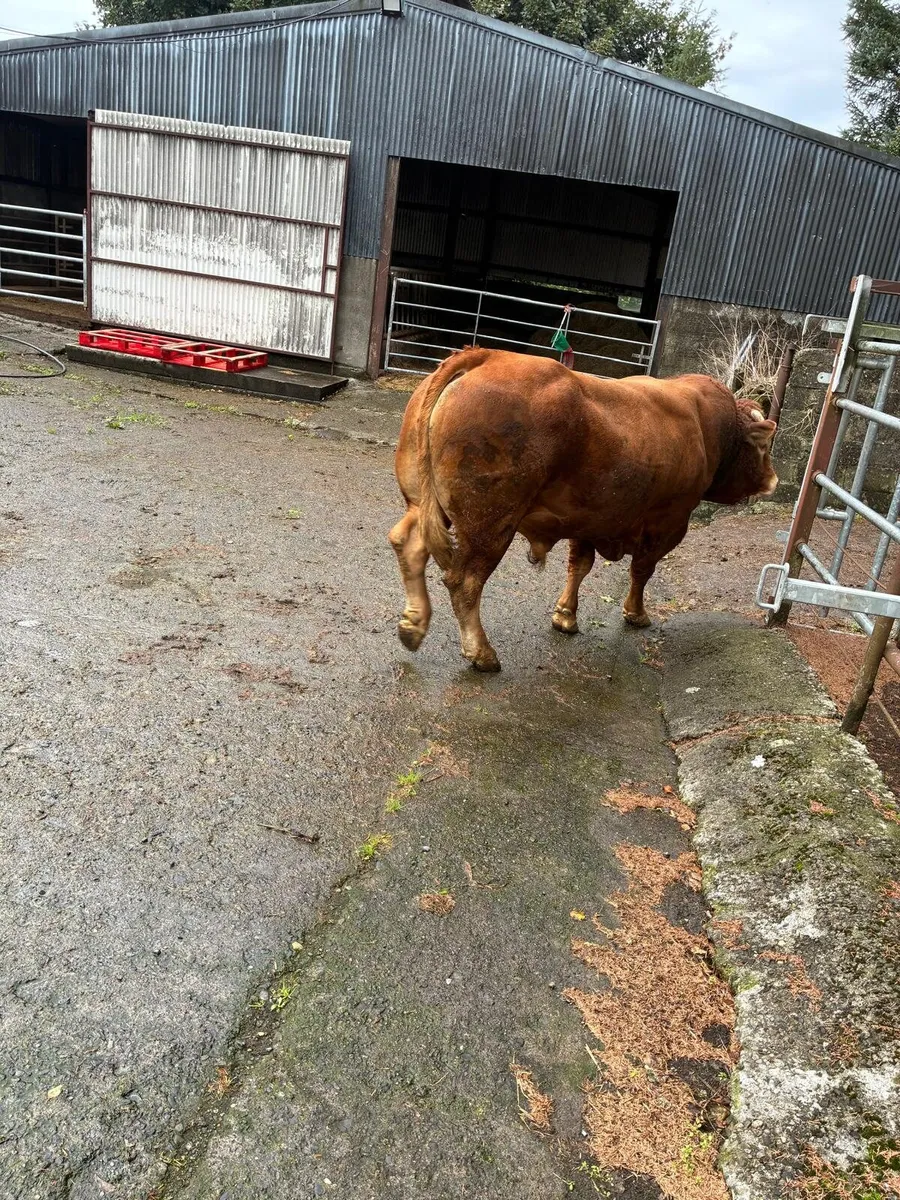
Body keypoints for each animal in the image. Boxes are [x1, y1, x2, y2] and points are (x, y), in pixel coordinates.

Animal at [388, 348, 777, 672]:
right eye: (762, 447)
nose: (773, 480)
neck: (707, 427)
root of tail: (487, 355)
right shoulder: (668, 521)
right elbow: (642, 570)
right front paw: (636, 613)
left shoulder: (590, 517)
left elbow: (580, 565)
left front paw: (565, 616)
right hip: (489, 523)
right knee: (465, 582)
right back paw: (481, 653)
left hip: (426, 504)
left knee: (407, 544)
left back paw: (413, 625)